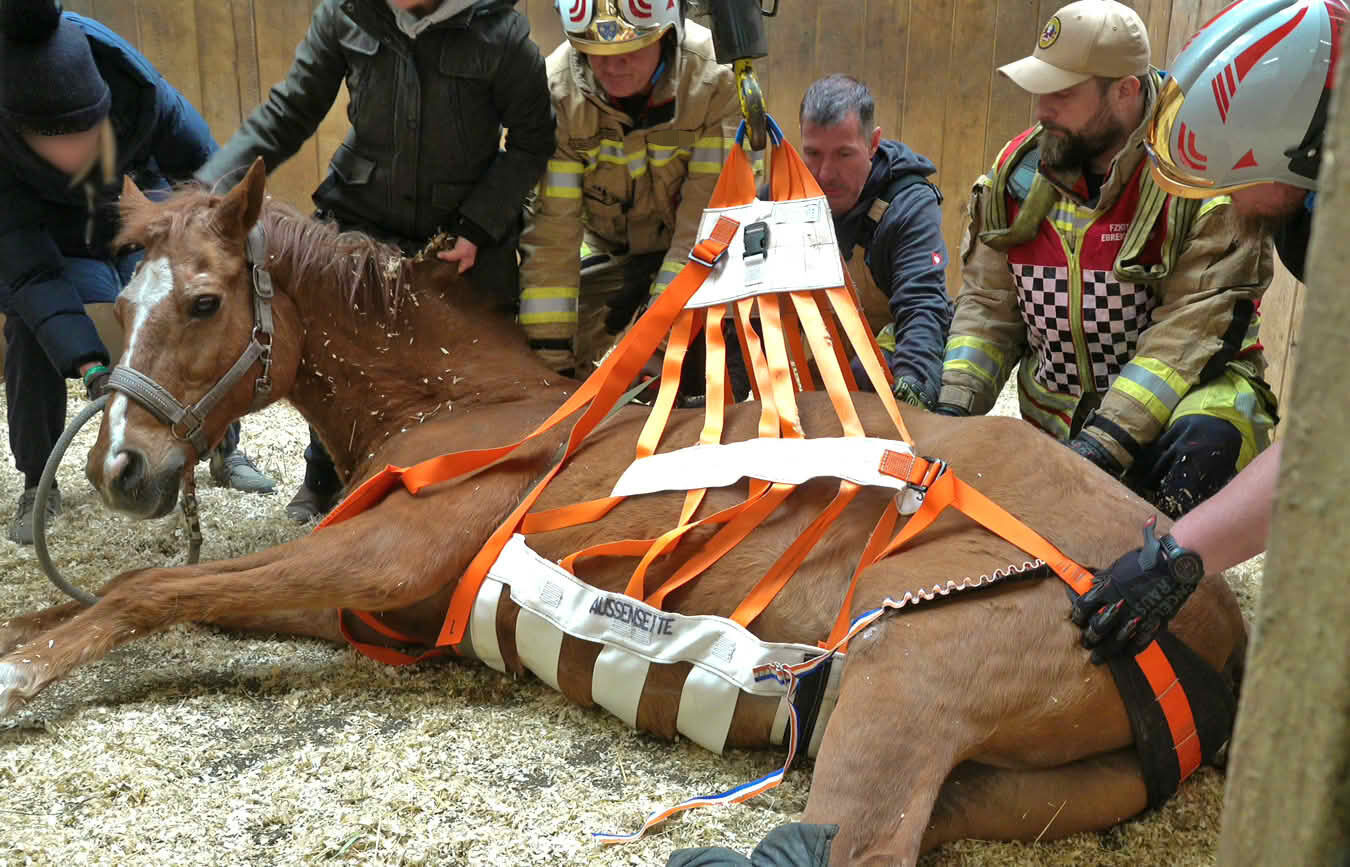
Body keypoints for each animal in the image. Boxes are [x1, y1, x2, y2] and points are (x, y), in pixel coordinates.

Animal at [0, 161, 1246, 865]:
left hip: (901, 686)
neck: (469, 407)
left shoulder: (372, 556)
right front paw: (28, 635)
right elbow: (148, 591)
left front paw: (23, 675)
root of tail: (1196, 604)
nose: (121, 467)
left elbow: (152, 586)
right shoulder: (356, 601)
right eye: (125, 296)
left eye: (205, 302)